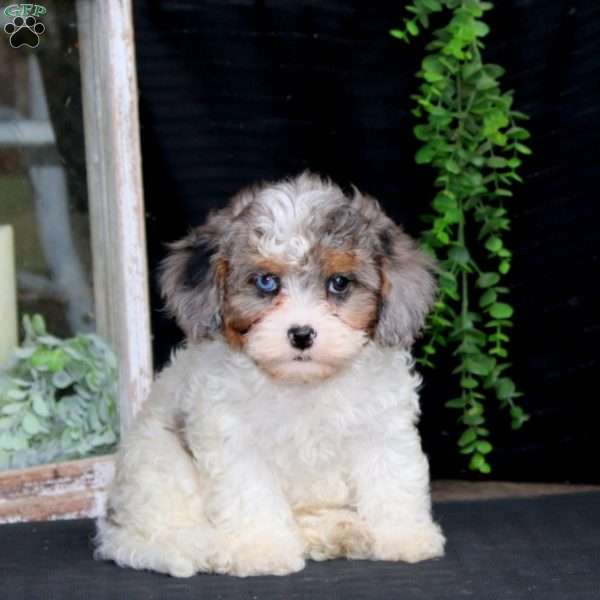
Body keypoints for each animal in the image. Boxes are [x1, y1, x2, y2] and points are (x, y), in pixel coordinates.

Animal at [96, 171, 446, 576]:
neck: (304, 386)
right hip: (158, 464)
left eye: (339, 283)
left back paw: (335, 531)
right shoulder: (234, 441)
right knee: (166, 531)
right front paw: (262, 550)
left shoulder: (382, 430)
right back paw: (206, 547)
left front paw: (405, 537)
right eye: (266, 282)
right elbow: (251, 497)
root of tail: (113, 527)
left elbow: (393, 481)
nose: (301, 334)